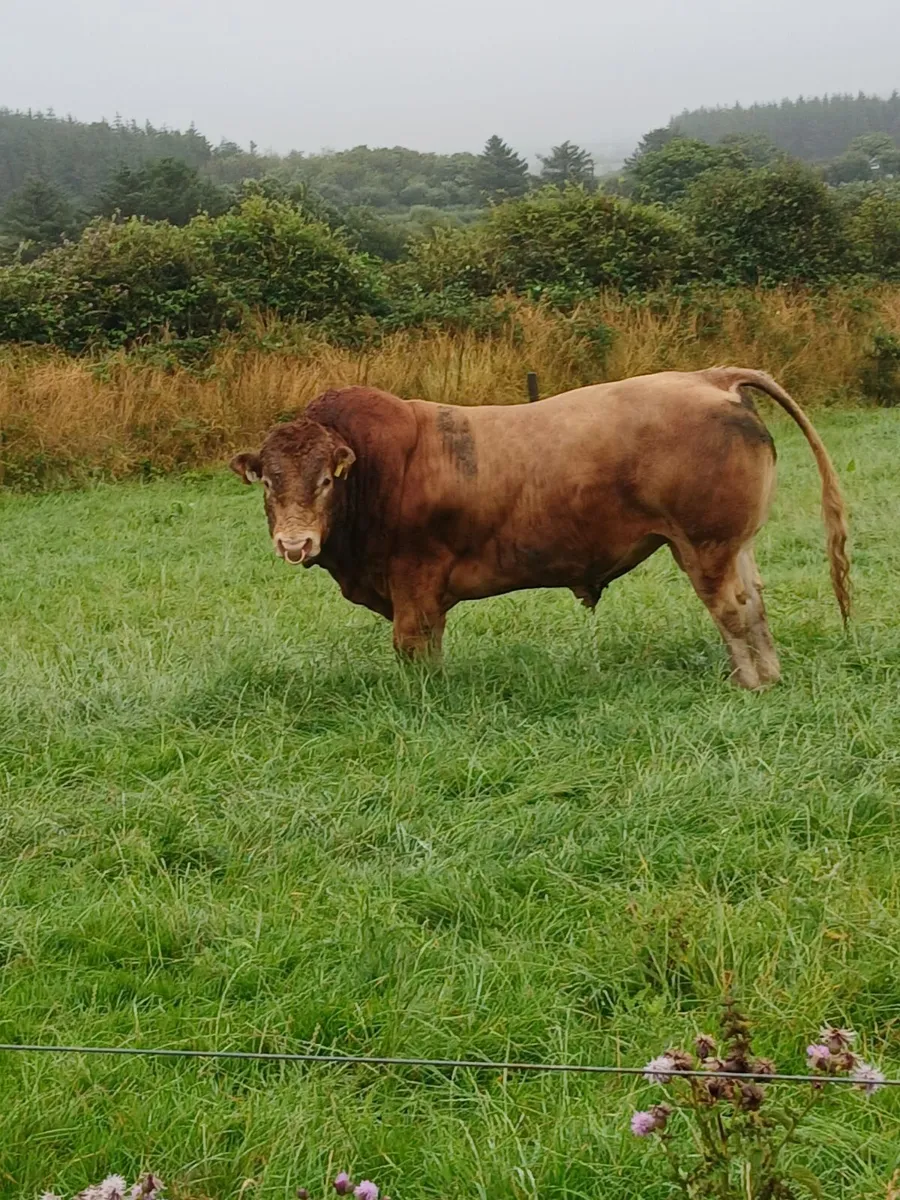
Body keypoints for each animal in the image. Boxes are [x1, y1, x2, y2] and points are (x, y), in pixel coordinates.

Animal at [230, 369, 850, 690]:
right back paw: (769, 675)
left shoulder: (413, 581)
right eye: (268, 482)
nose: (294, 543)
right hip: (734, 544)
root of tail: (709, 376)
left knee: (731, 609)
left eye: (325, 481)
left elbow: (412, 647)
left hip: (706, 546)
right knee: (755, 604)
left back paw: (750, 682)